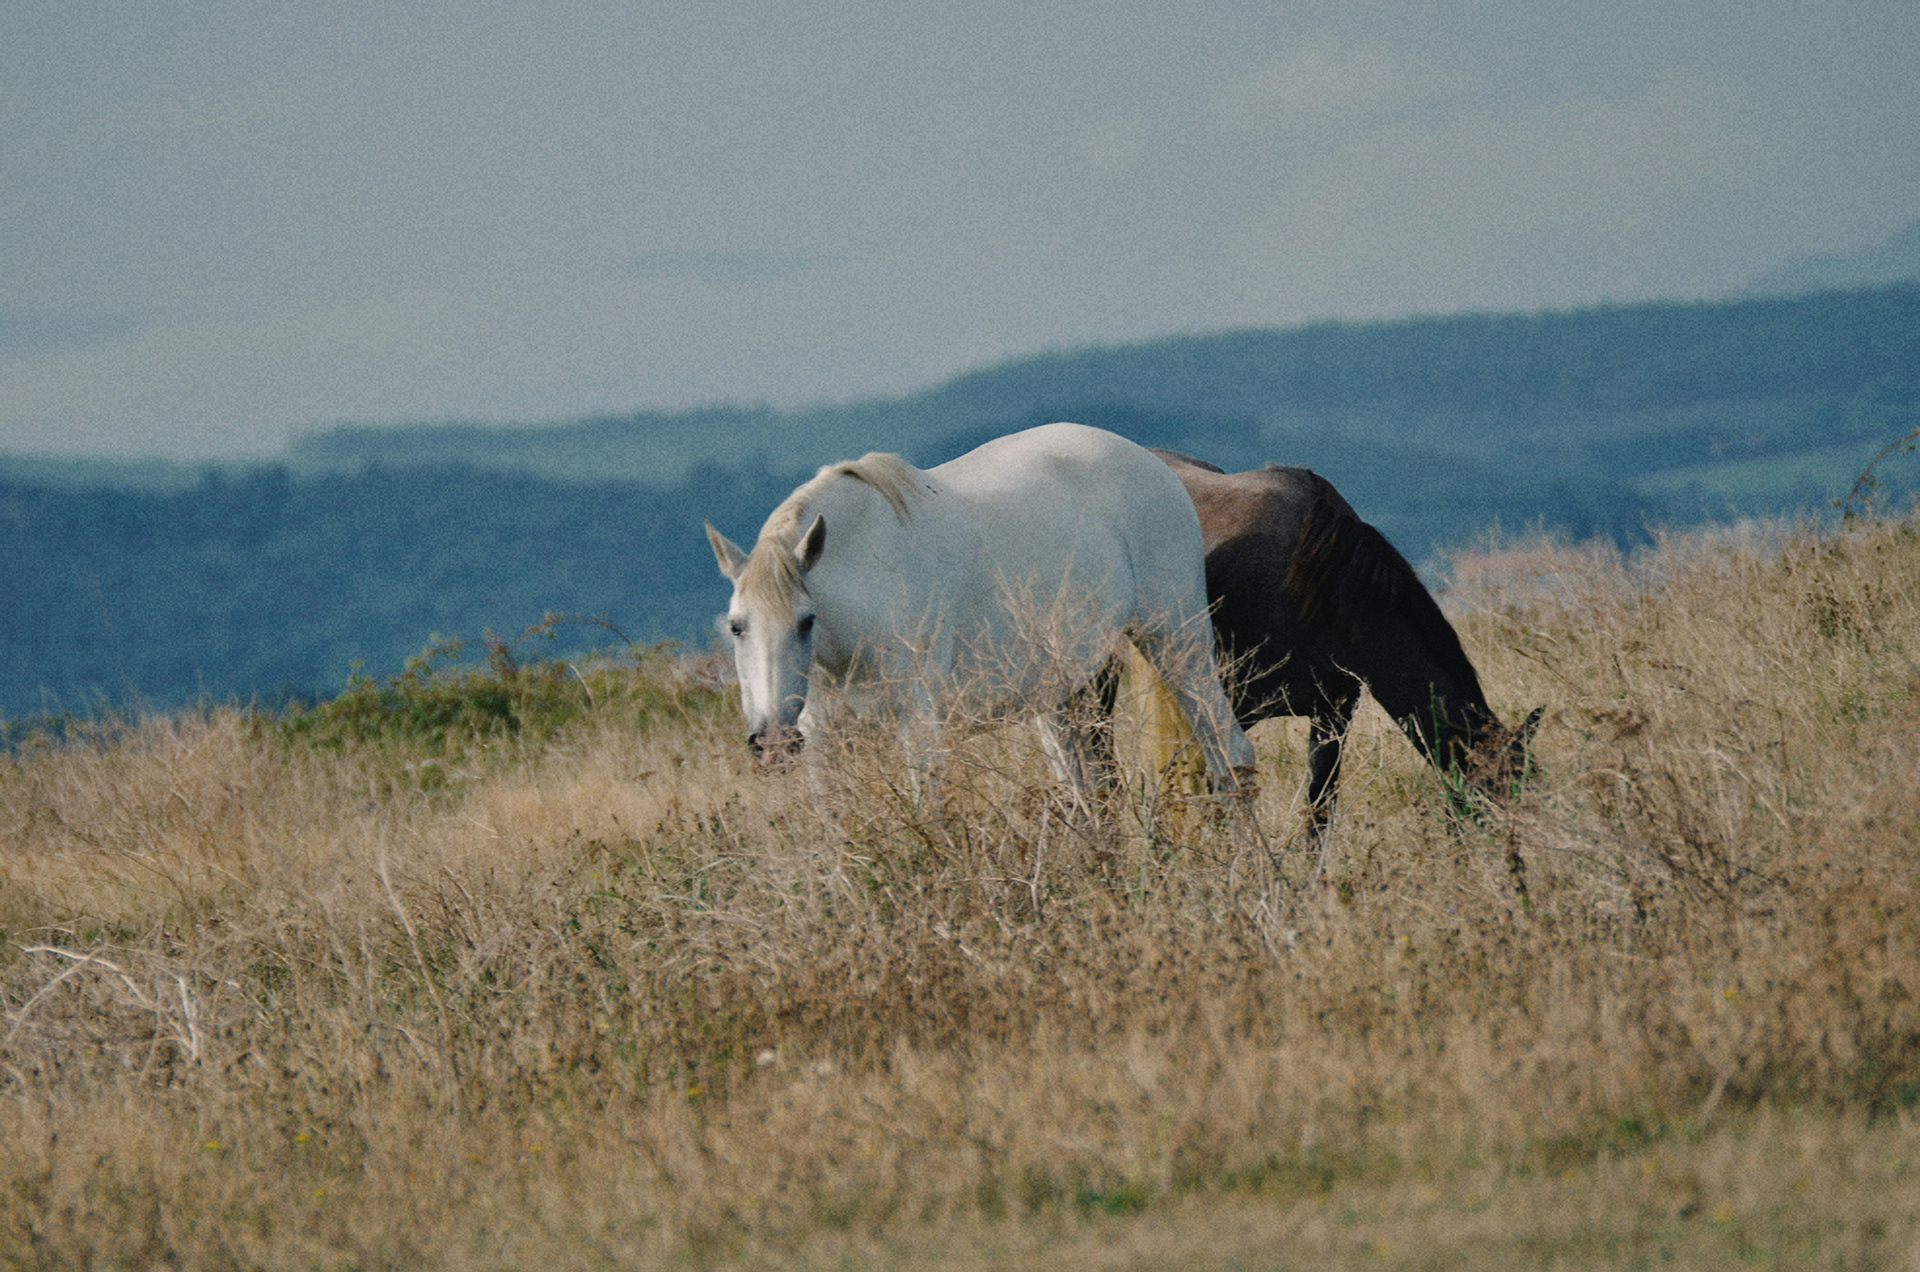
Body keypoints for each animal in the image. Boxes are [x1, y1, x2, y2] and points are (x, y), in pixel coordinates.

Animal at [706, 422, 1259, 791]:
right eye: (736, 627)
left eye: (806, 622)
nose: (772, 742)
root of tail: (1156, 466)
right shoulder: (822, 740)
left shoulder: (919, 723)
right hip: (1063, 694)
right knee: (1085, 792)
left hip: (1179, 644)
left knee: (1230, 760)